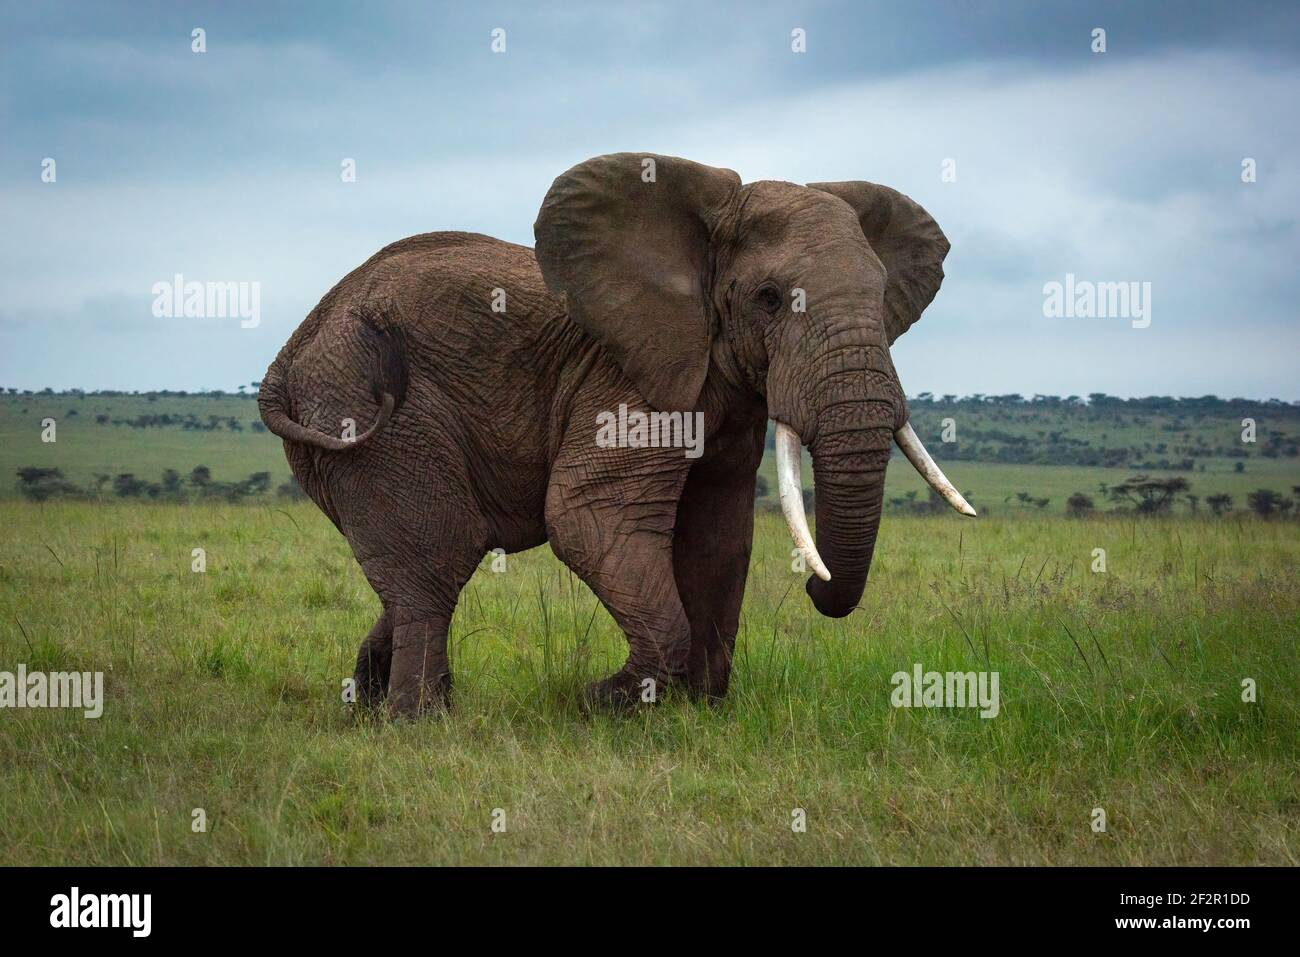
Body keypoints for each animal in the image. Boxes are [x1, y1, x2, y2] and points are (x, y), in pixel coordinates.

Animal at [258, 152, 974, 718]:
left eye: (882, 296)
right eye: (769, 298)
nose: (813, 588)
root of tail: (295, 345)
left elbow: (718, 533)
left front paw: (702, 709)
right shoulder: (622, 373)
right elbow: (588, 517)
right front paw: (609, 698)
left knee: (431, 562)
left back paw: (369, 705)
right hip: (364, 405)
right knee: (439, 555)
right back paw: (419, 721)